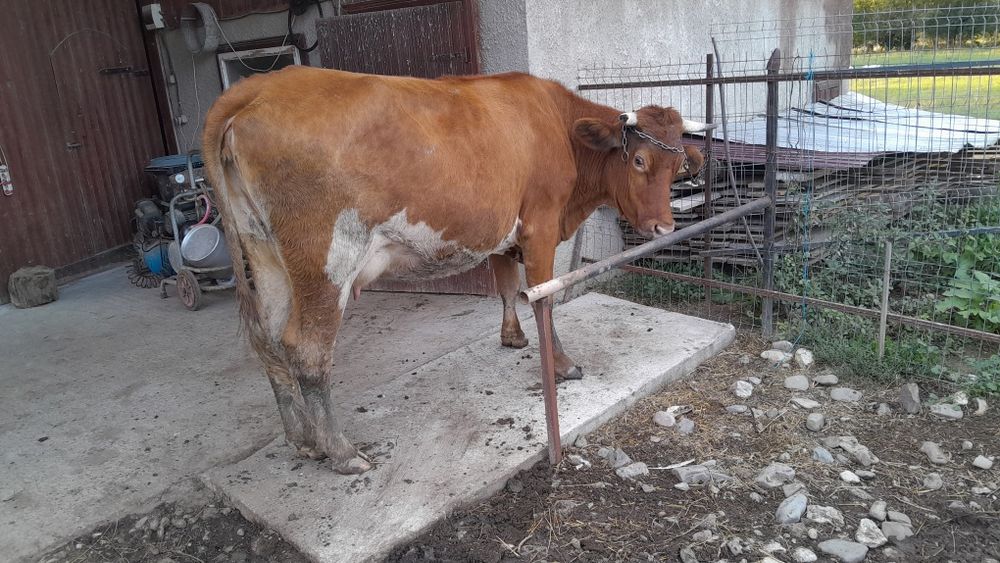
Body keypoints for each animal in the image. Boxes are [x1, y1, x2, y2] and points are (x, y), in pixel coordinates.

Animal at [202, 66, 710, 474]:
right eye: (639, 160)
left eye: (678, 165)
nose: (664, 227)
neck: (559, 128)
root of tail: (261, 86)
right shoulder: (541, 227)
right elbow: (543, 299)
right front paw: (562, 365)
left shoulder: (506, 232)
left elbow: (506, 286)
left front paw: (512, 337)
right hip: (327, 260)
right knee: (306, 350)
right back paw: (341, 452)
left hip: (264, 252)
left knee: (269, 339)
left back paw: (302, 439)